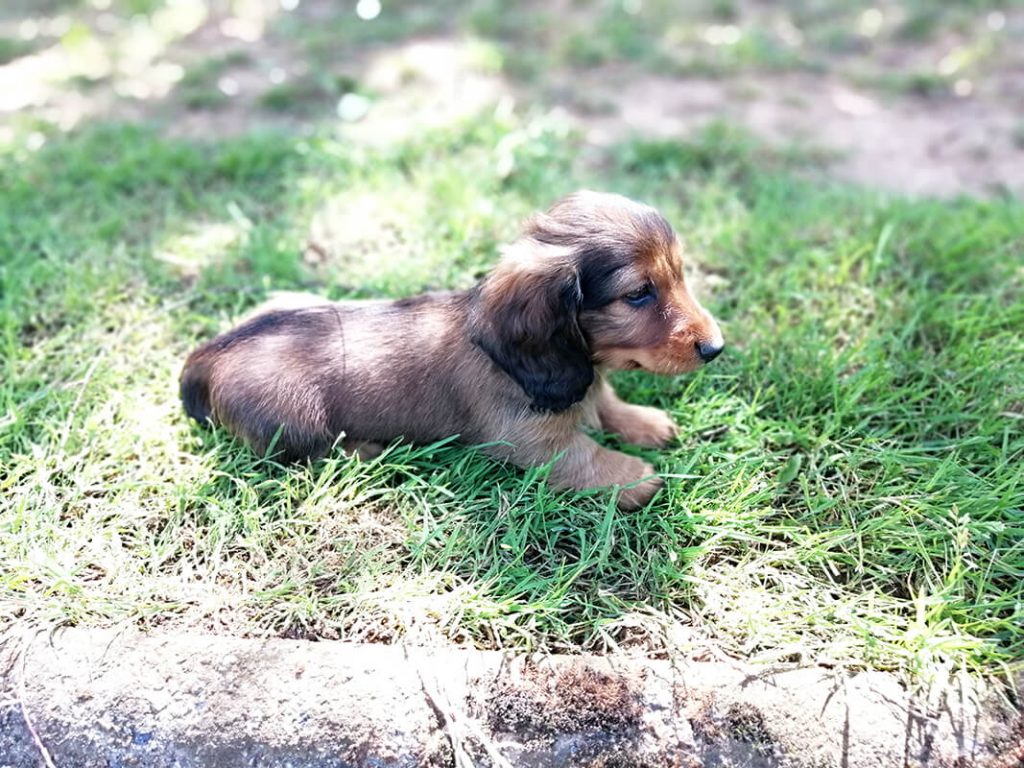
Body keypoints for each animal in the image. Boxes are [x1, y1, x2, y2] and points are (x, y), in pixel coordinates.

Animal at [184, 189, 729, 507]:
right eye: (638, 293)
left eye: (679, 274)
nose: (716, 347)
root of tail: (208, 356)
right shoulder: (527, 440)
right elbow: (585, 455)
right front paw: (634, 477)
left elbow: (605, 401)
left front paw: (642, 422)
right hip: (297, 417)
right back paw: (370, 451)